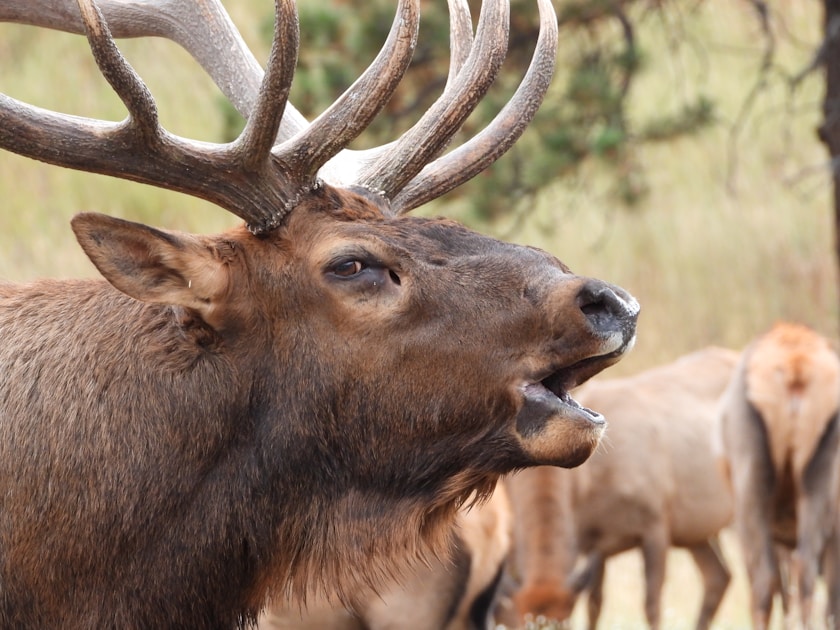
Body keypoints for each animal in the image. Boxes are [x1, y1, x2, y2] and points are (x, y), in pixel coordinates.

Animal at [500, 347, 738, 630]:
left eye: (563, 622)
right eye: (516, 622)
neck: (590, 479)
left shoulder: (656, 525)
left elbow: (652, 606)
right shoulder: (593, 543)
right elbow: (595, 605)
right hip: (697, 532)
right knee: (718, 576)